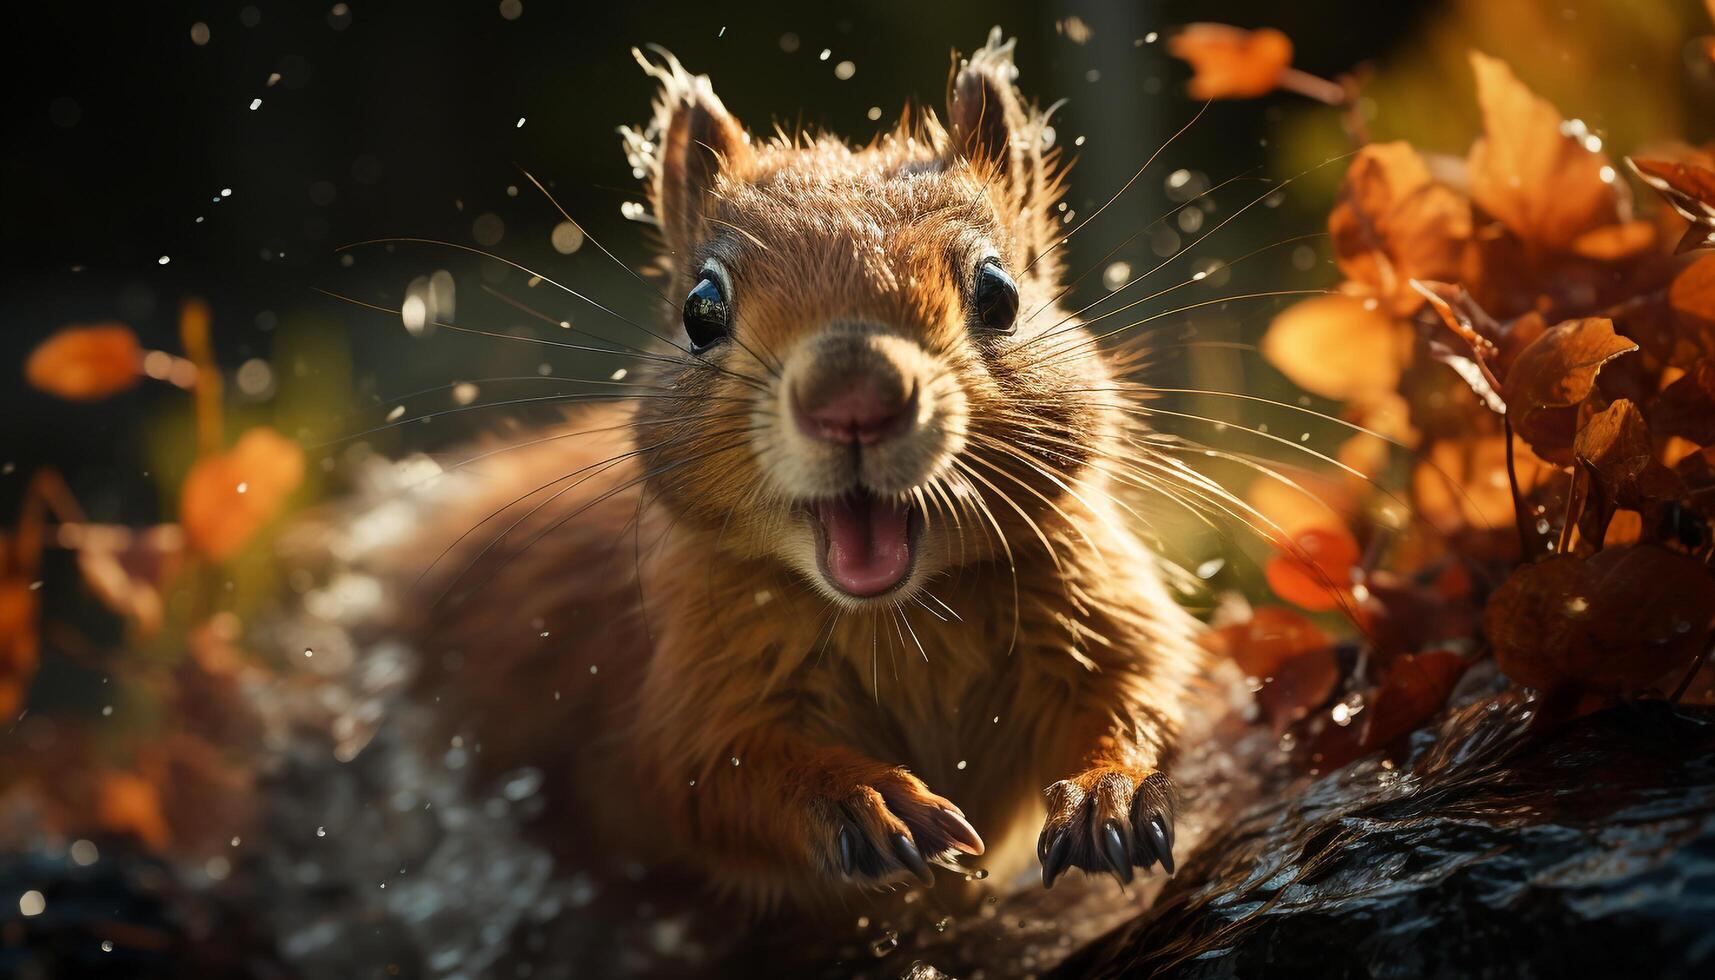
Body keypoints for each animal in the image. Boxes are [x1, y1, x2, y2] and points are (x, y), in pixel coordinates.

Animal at [375, 24, 1207, 913]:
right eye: (700, 311)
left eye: (999, 294)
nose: (853, 398)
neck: (900, 619)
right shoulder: (691, 678)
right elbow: (712, 772)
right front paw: (863, 799)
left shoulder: (1097, 603)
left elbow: (1140, 692)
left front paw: (1109, 790)